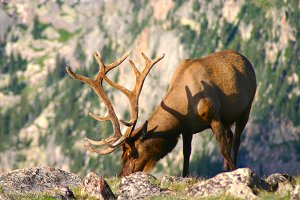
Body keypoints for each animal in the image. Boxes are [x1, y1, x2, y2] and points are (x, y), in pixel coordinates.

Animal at [67, 49, 256, 177]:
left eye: (131, 153)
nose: (121, 176)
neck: (184, 108)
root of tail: (247, 60)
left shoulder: (214, 116)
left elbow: (222, 148)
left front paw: (235, 171)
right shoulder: (187, 129)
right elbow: (186, 155)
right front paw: (185, 176)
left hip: (247, 106)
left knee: (237, 139)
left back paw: (233, 168)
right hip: (227, 117)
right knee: (230, 134)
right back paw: (224, 170)